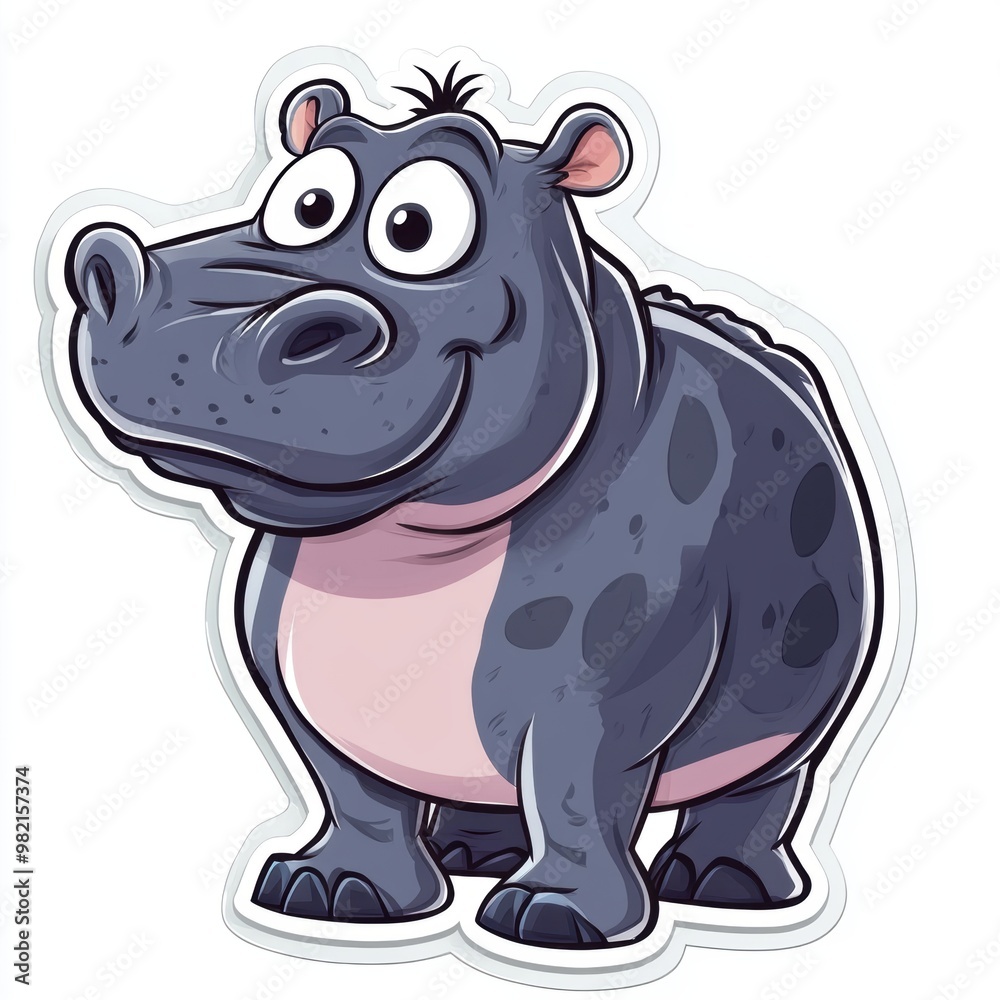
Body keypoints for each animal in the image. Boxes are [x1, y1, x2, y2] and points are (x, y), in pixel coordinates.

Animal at [63, 63, 880, 949]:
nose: (183, 317)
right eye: (305, 203)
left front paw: (554, 922)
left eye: (414, 227)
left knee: (763, 785)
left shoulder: (600, 696)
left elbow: (575, 791)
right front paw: (333, 892)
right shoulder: (298, 683)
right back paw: (474, 856)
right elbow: (355, 794)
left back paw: (722, 886)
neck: (397, 549)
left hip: (797, 714)